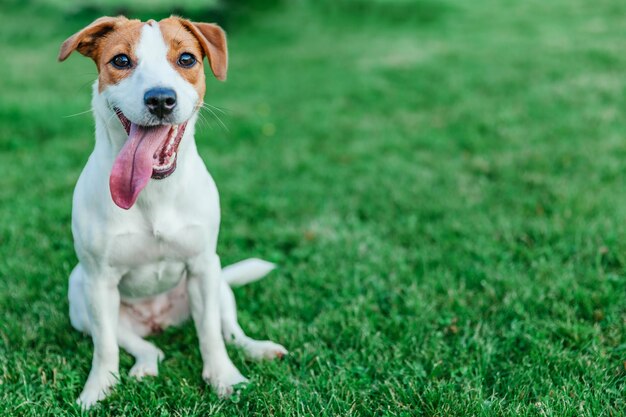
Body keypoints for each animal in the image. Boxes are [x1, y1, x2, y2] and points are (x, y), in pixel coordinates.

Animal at [57, 15, 286, 406]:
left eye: (186, 59)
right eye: (121, 60)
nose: (161, 99)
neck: (154, 189)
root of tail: (157, 320)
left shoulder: (203, 267)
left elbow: (210, 334)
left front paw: (224, 378)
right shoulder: (99, 283)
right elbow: (105, 347)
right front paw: (97, 389)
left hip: (219, 282)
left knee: (230, 331)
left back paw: (257, 349)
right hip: (80, 294)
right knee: (140, 345)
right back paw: (145, 365)